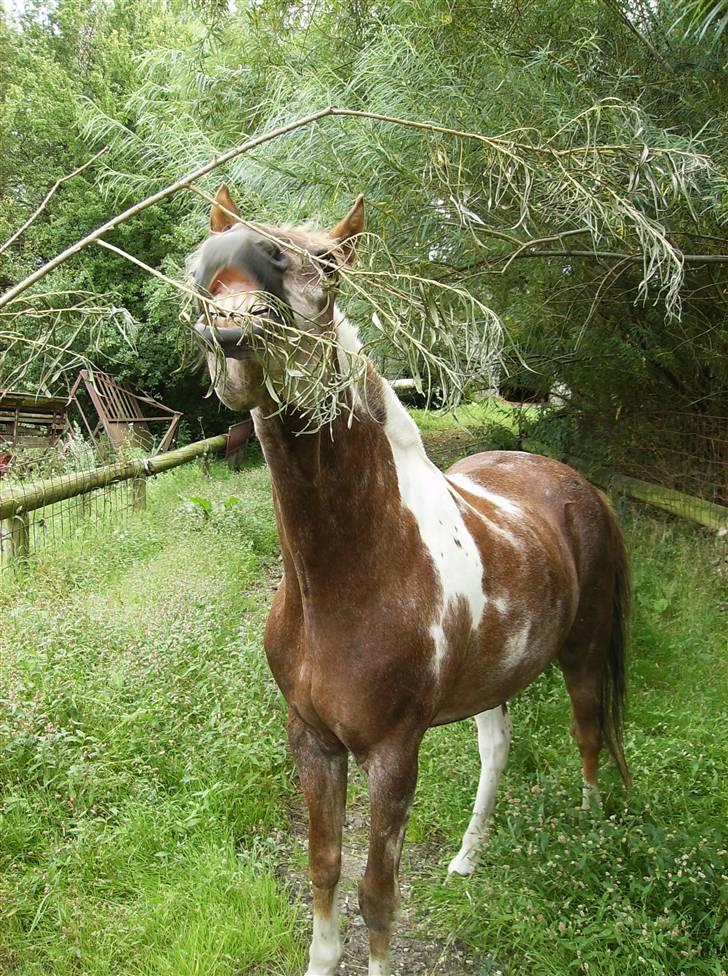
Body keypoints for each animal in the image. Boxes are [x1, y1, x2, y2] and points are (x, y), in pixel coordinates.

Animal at [191, 185, 628, 976]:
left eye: (328, 265)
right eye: (208, 257)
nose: (230, 291)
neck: (348, 577)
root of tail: (576, 485)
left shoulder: (394, 755)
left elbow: (376, 895)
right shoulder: (312, 741)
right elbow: (324, 869)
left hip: (581, 653)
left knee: (588, 736)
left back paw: (585, 832)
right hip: (496, 677)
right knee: (496, 748)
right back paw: (468, 859)